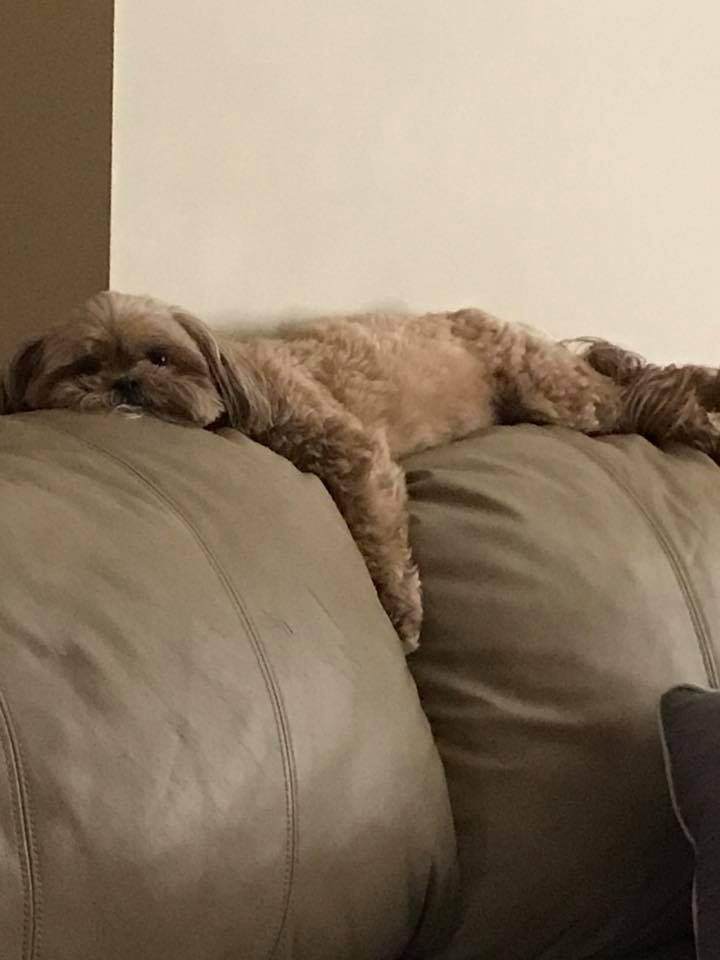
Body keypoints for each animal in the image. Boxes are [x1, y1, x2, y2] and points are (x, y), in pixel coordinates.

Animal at [2, 292, 716, 652]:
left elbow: (380, 541)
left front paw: (401, 617)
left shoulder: (354, 451)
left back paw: (701, 412)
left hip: (559, 397)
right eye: (84, 366)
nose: (123, 384)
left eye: (160, 357)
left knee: (649, 391)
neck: (245, 375)